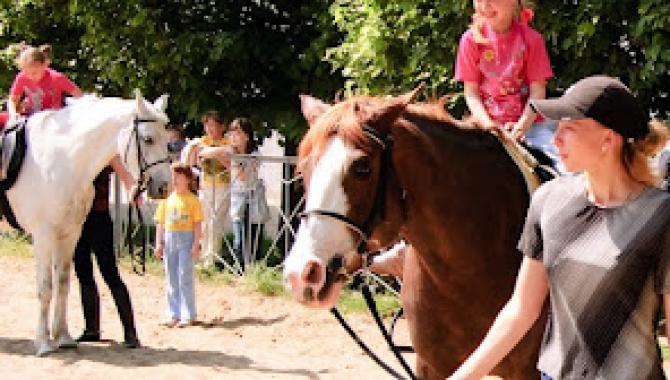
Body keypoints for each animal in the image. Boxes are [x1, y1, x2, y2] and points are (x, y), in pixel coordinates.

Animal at [5, 90, 172, 354]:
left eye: (168, 138)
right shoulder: (43, 236)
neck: (62, 160)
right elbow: (45, 288)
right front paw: (43, 343)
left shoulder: (70, 233)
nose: (164, 187)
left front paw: (62, 337)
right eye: (147, 139)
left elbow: (63, 283)